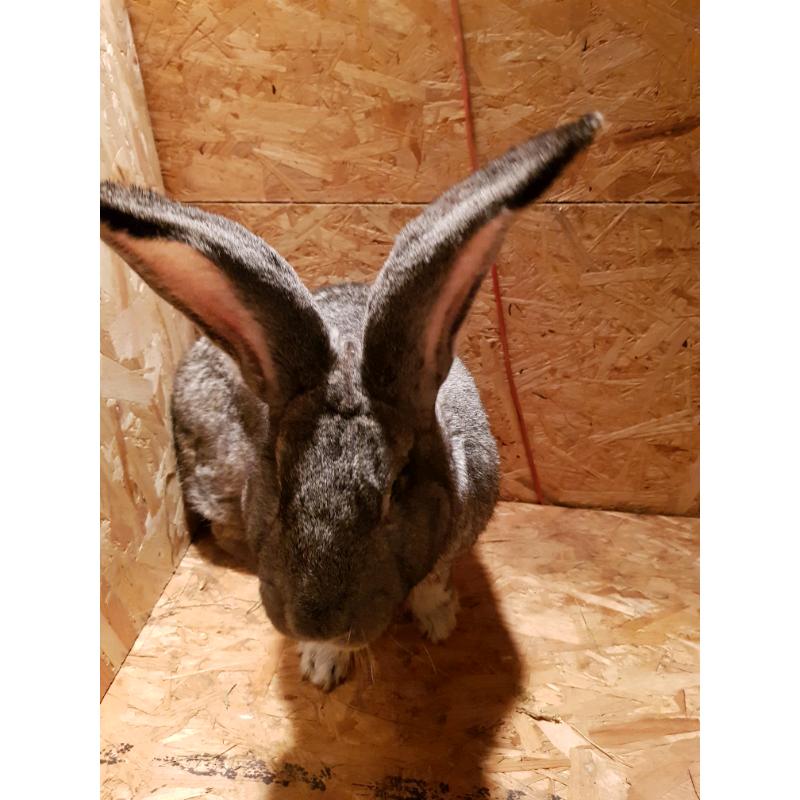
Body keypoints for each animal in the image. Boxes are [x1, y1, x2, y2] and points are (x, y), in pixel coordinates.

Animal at [100, 113, 602, 690]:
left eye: (395, 488)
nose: (315, 619)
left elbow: (434, 579)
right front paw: (322, 666)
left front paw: (438, 622)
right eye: (279, 480)